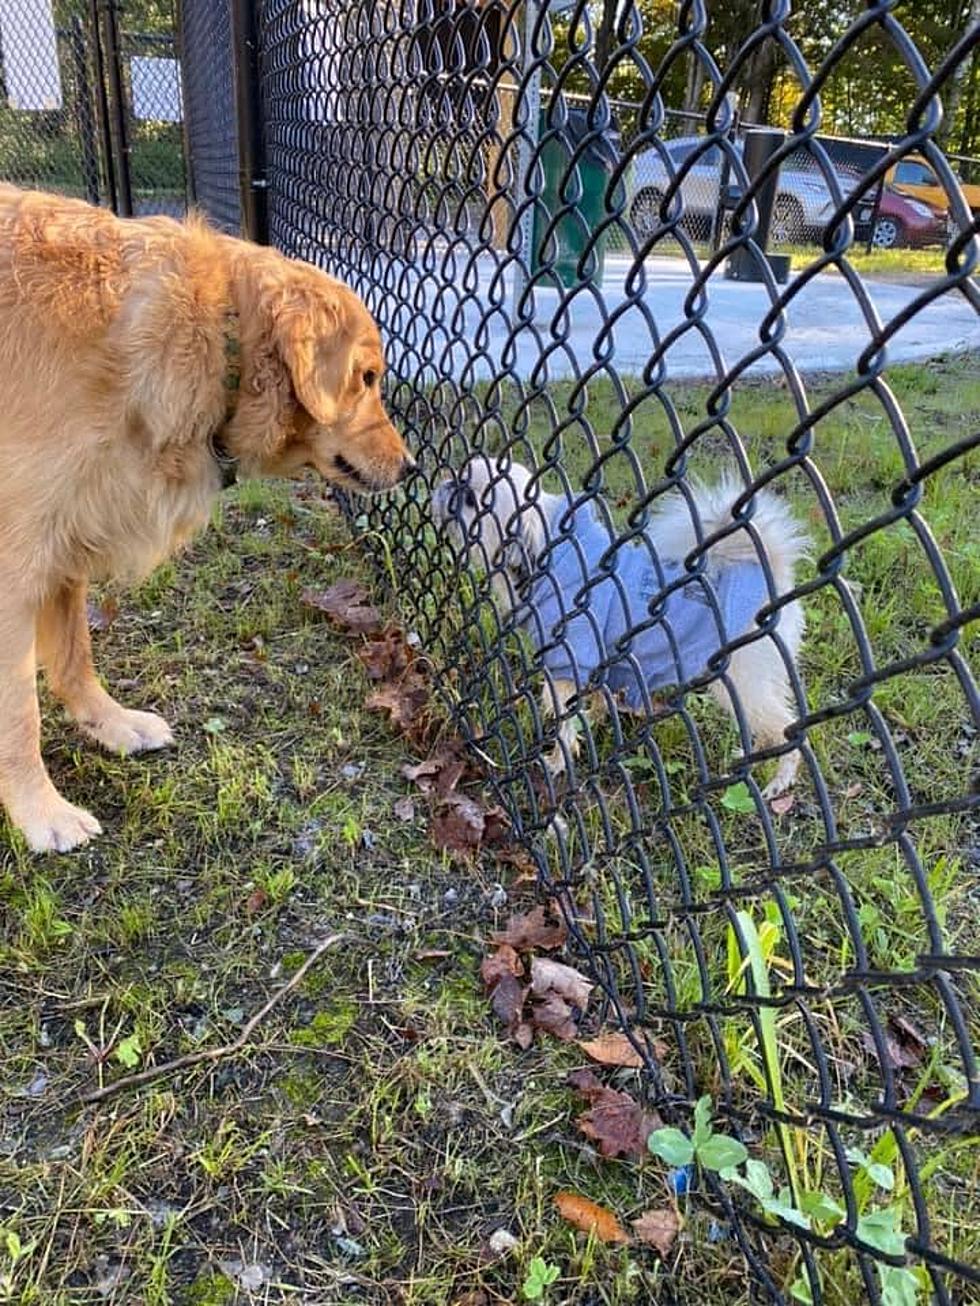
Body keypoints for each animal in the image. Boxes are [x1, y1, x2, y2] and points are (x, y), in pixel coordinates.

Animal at [433, 454, 810, 794]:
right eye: (459, 476)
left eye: (472, 501)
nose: (448, 484)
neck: (548, 558)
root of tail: (771, 572)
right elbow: (596, 702)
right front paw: (592, 721)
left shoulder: (567, 664)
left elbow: (562, 721)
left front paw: (556, 761)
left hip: (743, 681)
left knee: (789, 730)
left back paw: (779, 782)